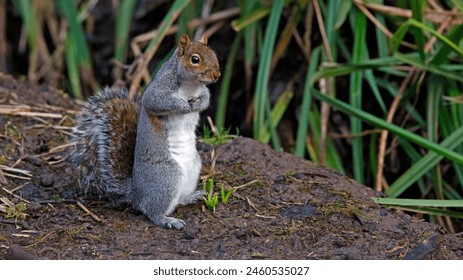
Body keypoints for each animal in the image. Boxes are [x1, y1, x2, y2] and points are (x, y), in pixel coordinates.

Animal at [72, 34, 221, 229]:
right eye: (195, 59)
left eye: (213, 53)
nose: (217, 75)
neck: (191, 86)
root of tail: (136, 193)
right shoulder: (158, 90)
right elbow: (156, 101)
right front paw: (183, 106)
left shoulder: (202, 91)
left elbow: (206, 98)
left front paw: (198, 104)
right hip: (167, 177)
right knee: (152, 211)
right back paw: (168, 220)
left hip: (194, 168)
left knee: (177, 201)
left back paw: (191, 197)